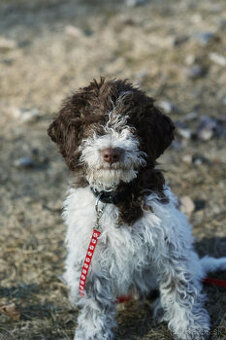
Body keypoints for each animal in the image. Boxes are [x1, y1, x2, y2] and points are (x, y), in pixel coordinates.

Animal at [47, 78, 226, 338]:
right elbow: (94, 300)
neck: (117, 196)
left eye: (131, 124)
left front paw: (191, 325)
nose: (111, 152)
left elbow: (180, 288)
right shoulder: (93, 258)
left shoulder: (169, 245)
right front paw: (93, 332)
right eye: (94, 123)